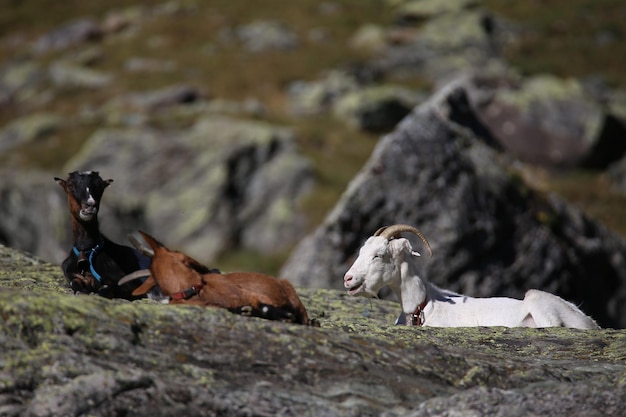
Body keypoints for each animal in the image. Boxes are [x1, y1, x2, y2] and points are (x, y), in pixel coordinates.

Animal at [344, 224, 596, 328]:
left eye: (378, 255)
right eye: (361, 251)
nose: (348, 278)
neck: (422, 306)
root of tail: (589, 321)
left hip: (536, 299)